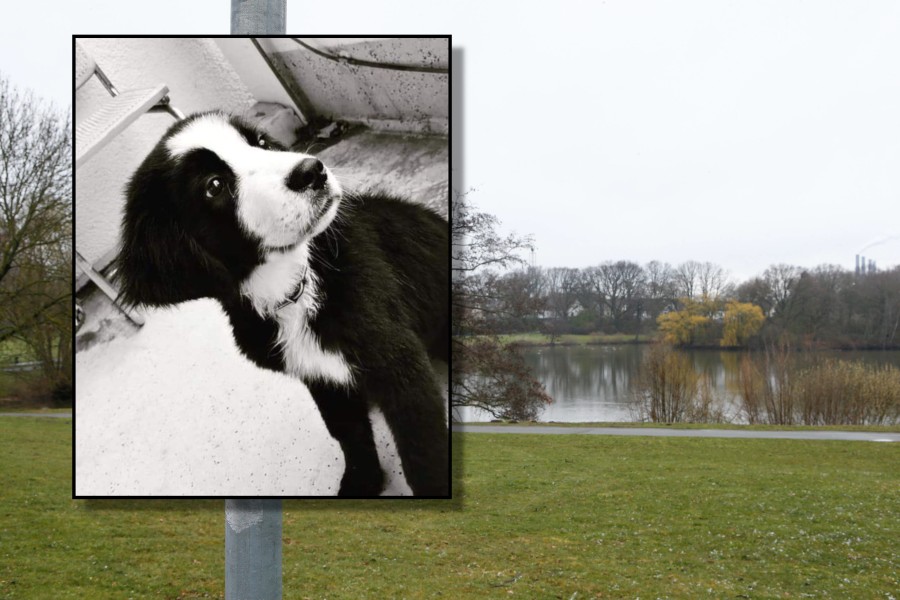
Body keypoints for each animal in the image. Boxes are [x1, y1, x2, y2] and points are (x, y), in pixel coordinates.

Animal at [115, 112, 450, 496]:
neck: (292, 293)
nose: (312, 171)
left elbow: (422, 450)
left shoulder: (398, 362)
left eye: (260, 142)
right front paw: (363, 480)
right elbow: (345, 430)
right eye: (213, 185)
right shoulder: (318, 373)